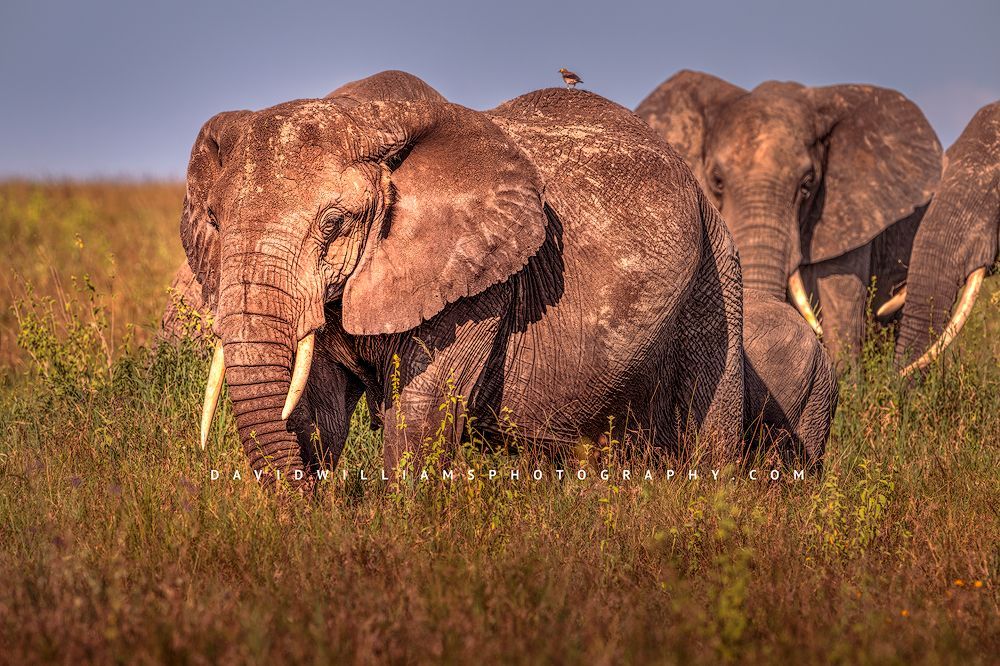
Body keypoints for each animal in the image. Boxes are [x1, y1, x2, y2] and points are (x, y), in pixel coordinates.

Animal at [178, 70, 746, 486]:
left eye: (334, 222)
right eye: (215, 222)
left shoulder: (478, 285)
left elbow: (420, 411)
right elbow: (317, 409)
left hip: (717, 275)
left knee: (710, 433)